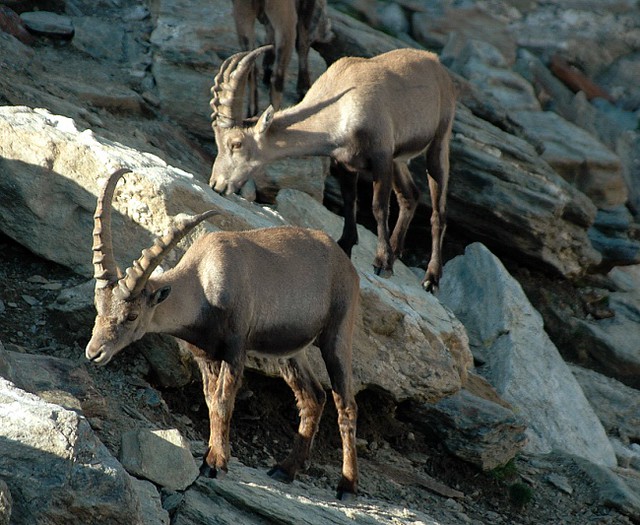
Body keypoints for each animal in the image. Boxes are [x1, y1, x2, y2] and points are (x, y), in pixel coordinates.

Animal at [85, 168, 360, 499]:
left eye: (132, 315)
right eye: (98, 304)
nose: (94, 352)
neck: (204, 281)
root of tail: (346, 263)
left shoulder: (234, 349)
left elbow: (222, 402)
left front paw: (215, 463)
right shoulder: (205, 355)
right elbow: (210, 402)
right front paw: (211, 457)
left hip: (338, 335)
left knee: (346, 406)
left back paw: (347, 485)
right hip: (289, 353)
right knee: (313, 397)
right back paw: (286, 469)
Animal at [209, 46, 456, 292]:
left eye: (236, 144)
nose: (215, 183)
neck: (341, 108)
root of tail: (436, 64)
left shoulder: (382, 156)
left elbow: (378, 207)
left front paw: (382, 263)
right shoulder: (345, 162)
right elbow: (349, 200)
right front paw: (345, 244)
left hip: (439, 141)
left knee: (438, 213)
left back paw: (431, 277)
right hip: (399, 160)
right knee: (409, 196)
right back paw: (396, 251)